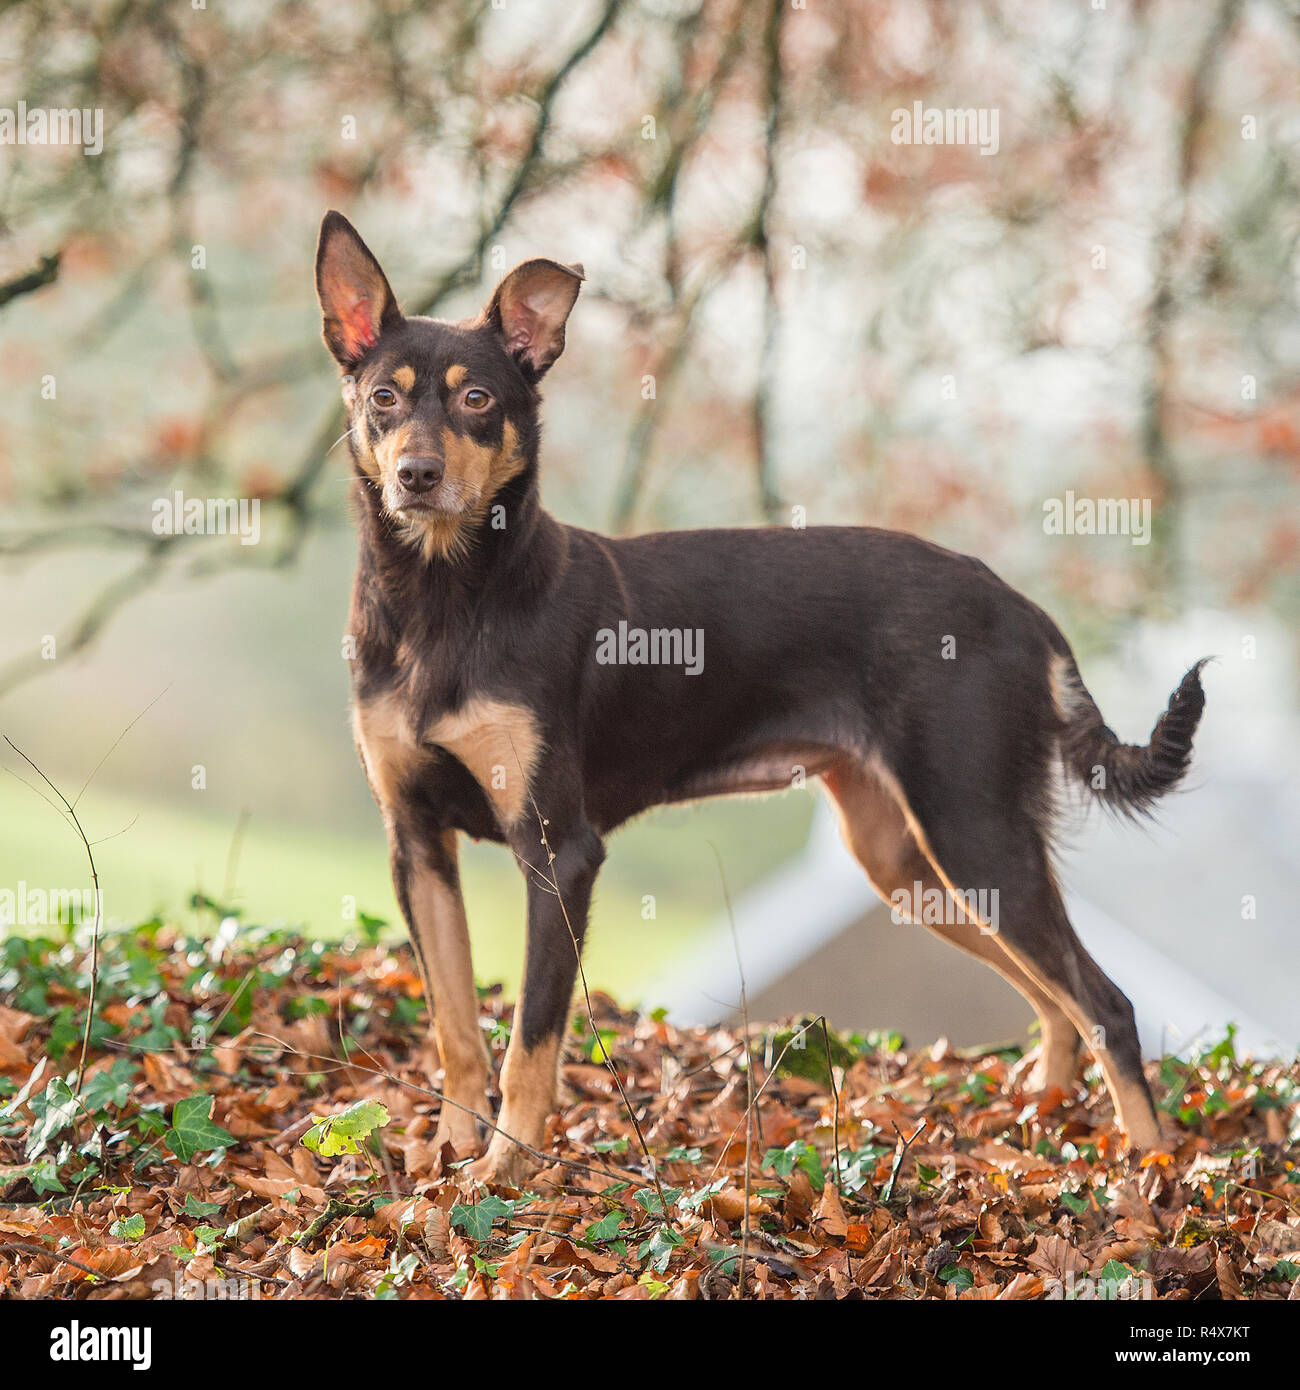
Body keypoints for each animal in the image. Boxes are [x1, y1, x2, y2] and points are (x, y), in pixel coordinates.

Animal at [315, 211, 1212, 1189]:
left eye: (478, 399)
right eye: (384, 399)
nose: (416, 476)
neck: (444, 603)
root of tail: (1021, 608)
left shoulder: (558, 851)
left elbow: (530, 1041)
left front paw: (502, 1175)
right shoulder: (416, 844)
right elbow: (455, 1030)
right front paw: (449, 1153)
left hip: (975, 833)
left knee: (1108, 1004)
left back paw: (1152, 1177)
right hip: (909, 859)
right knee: (1056, 1001)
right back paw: (1045, 1121)